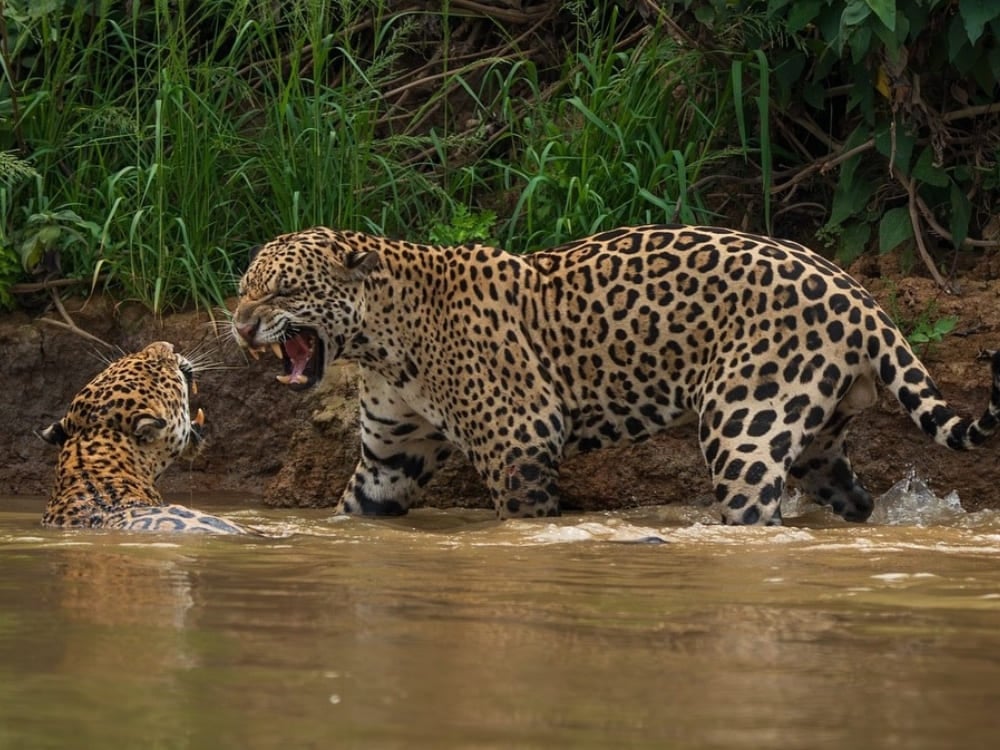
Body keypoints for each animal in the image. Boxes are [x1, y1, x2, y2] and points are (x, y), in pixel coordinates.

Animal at [232, 224, 1000, 525]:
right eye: (244, 289)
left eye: (282, 291)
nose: (239, 326)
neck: (381, 341)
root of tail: (859, 295)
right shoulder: (389, 459)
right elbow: (354, 511)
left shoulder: (520, 440)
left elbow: (524, 518)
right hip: (817, 440)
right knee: (850, 496)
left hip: (744, 427)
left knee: (756, 513)